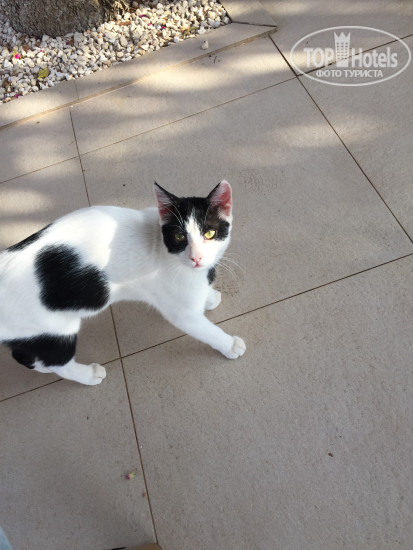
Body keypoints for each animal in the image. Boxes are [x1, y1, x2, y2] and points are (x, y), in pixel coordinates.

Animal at [0, 180, 246, 385]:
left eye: (210, 233)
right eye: (179, 237)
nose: (196, 258)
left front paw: (209, 297)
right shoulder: (181, 312)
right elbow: (204, 329)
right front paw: (229, 344)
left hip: (34, 335)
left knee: (24, 354)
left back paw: (42, 367)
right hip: (55, 329)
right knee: (57, 361)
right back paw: (87, 375)